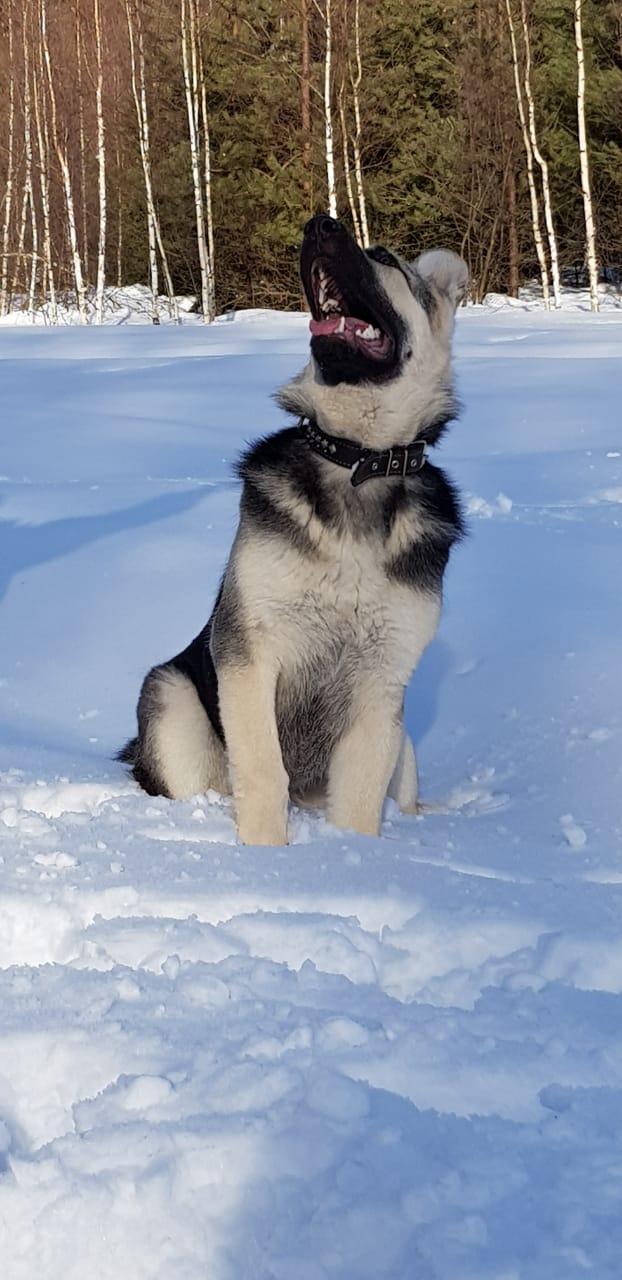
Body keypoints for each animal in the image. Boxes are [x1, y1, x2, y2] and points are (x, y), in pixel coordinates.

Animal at [117, 215, 465, 844]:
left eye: (383, 258)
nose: (320, 224)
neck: (358, 461)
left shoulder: (384, 683)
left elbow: (358, 798)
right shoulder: (250, 655)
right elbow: (262, 771)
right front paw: (268, 857)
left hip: (405, 748)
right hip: (171, 698)